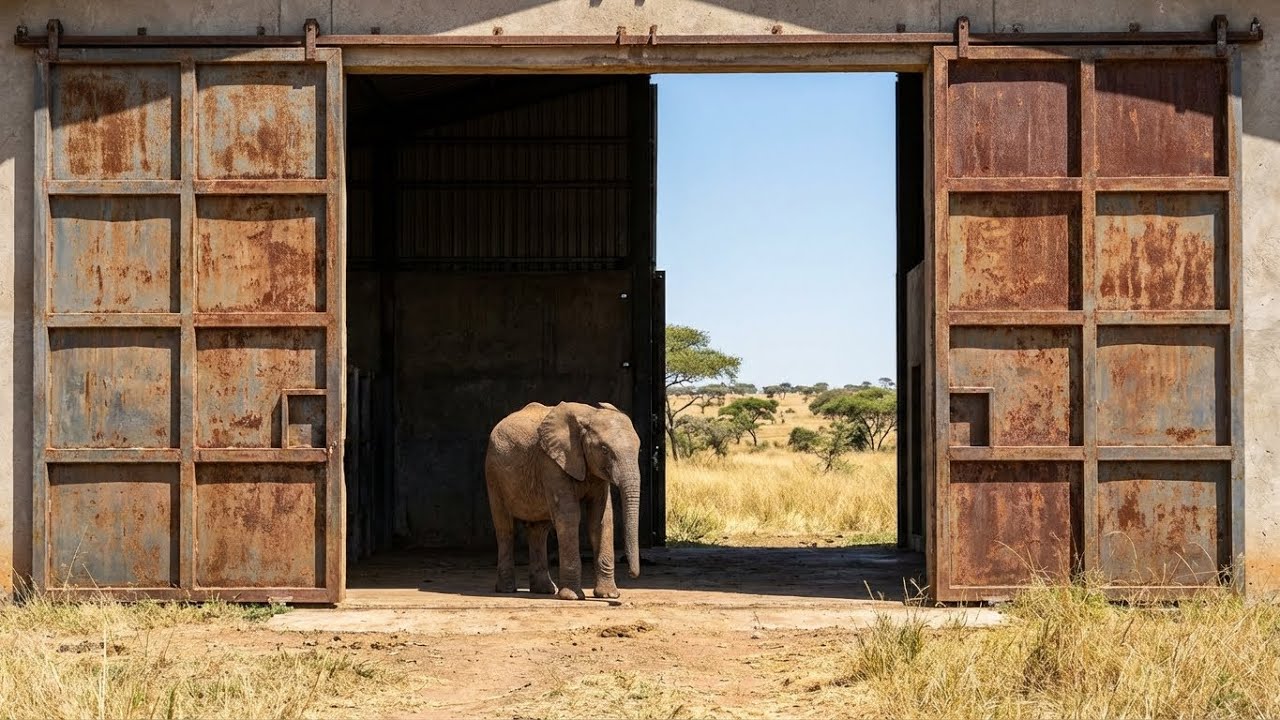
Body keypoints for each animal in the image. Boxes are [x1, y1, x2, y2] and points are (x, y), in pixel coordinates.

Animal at [484, 401, 642, 600]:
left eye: (639, 449)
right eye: (605, 450)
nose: (631, 573)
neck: (590, 414)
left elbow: (601, 519)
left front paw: (608, 595)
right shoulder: (551, 462)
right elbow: (569, 516)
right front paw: (572, 596)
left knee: (539, 530)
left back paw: (544, 590)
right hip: (493, 474)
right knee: (505, 529)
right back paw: (507, 590)